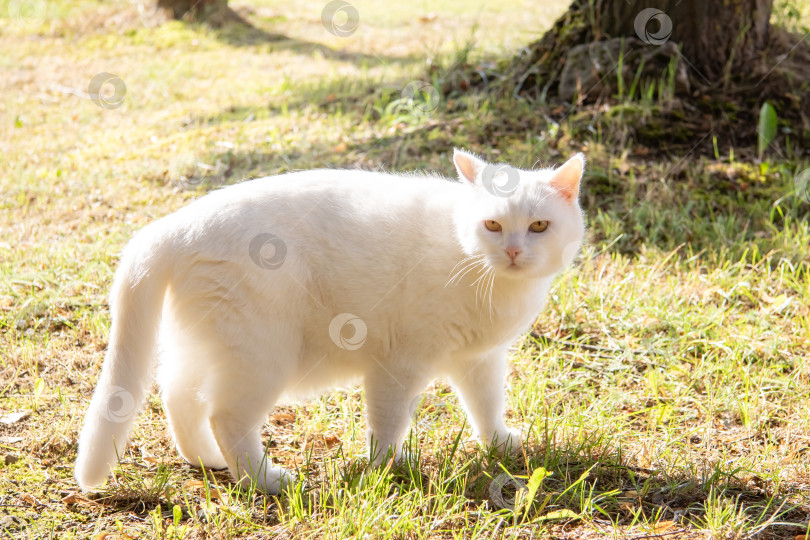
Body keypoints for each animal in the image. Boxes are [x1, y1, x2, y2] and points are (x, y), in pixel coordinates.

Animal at [74, 148, 580, 494]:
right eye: (492, 225)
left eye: (538, 226)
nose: (513, 251)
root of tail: (173, 226)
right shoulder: (397, 367)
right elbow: (388, 425)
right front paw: (385, 470)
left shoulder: (480, 359)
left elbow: (487, 406)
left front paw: (499, 444)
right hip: (261, 357)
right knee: (225, 417)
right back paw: (265, 480)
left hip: (207, 347)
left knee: (179, 396)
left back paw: (206, 459)